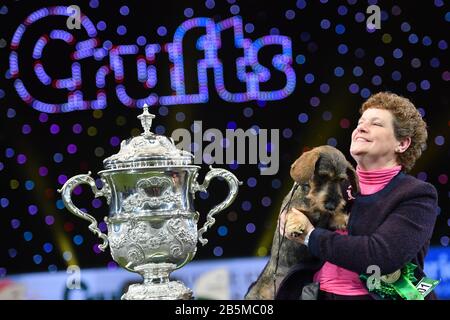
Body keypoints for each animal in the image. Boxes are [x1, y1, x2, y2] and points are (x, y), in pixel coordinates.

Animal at [244, 145, 356, 300]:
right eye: (323, 176)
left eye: (341, 180)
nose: (332, 205)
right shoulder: (291, 209)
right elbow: (294, 213)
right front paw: (296, 225)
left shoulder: (326, 217)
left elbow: (333, 217)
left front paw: (344, 218)